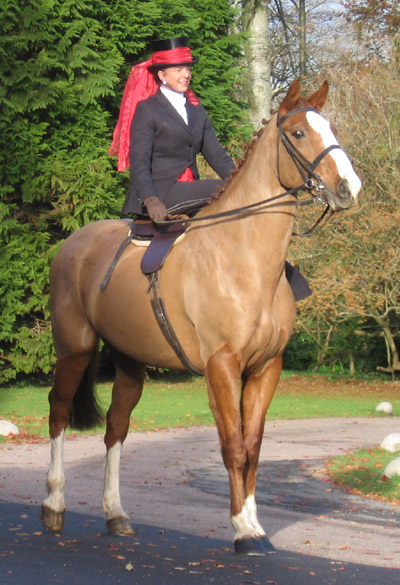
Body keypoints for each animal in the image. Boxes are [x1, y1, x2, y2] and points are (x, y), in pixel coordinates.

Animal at [40, 80, 362, 556]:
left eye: (332, 127)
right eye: (300, 133)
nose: (348, 188)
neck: (245, 257)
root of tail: (72, 243)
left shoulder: (266, 368)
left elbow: (253, 447)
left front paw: (253, 522)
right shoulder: (222, 365)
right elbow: (233, 446)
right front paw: (243, 529)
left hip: (130, 362)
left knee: (116, 427)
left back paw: (115, 513)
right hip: (75, 350)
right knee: (58, 412)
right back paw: (54, 505)